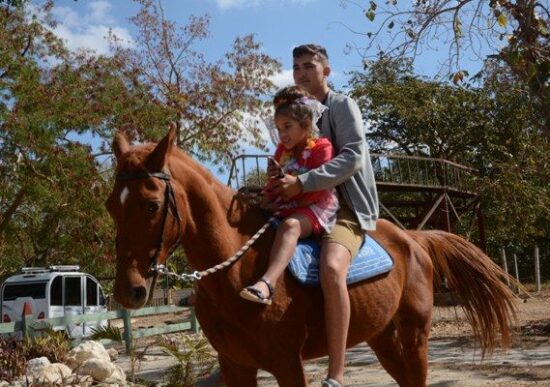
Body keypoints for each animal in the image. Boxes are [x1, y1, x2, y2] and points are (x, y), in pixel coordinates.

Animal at [106, 130, 516, 387]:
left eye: (151, 204)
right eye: (111, 205)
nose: (129, 290)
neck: (237, 271)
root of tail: (413, 238)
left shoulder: (288, 364)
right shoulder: (235, 366)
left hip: (415, 334)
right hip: (383, 338)